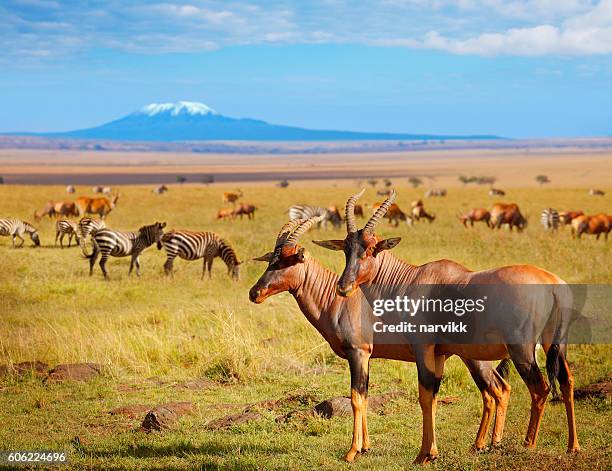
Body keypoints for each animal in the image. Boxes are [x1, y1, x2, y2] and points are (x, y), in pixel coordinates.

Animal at [249, 218, 512, 464]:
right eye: (271, 260)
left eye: (287, 261)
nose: (255, 293)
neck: (340, 301)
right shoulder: (368, 357)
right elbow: (364, 397)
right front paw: (365, 447)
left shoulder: (358, 352)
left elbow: (356, 398)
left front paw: (352, 452)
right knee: (495, 390)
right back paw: (480, 445)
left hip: (474, 356)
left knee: (496, 389)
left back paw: (489, 444)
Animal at [316, 191, 580, 464]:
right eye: (346, 249)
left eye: (370, 249)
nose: (343, 287)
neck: (411, 279)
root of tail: (552, 284)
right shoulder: (440, 353)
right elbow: (432, 397)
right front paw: (431, 452)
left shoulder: (423, 349)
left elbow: (424, 396)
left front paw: (423, 455)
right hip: (556, 345)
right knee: (566, 381)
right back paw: (573, 446)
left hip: (522, 350)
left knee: (540, 388)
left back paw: (528, 444)